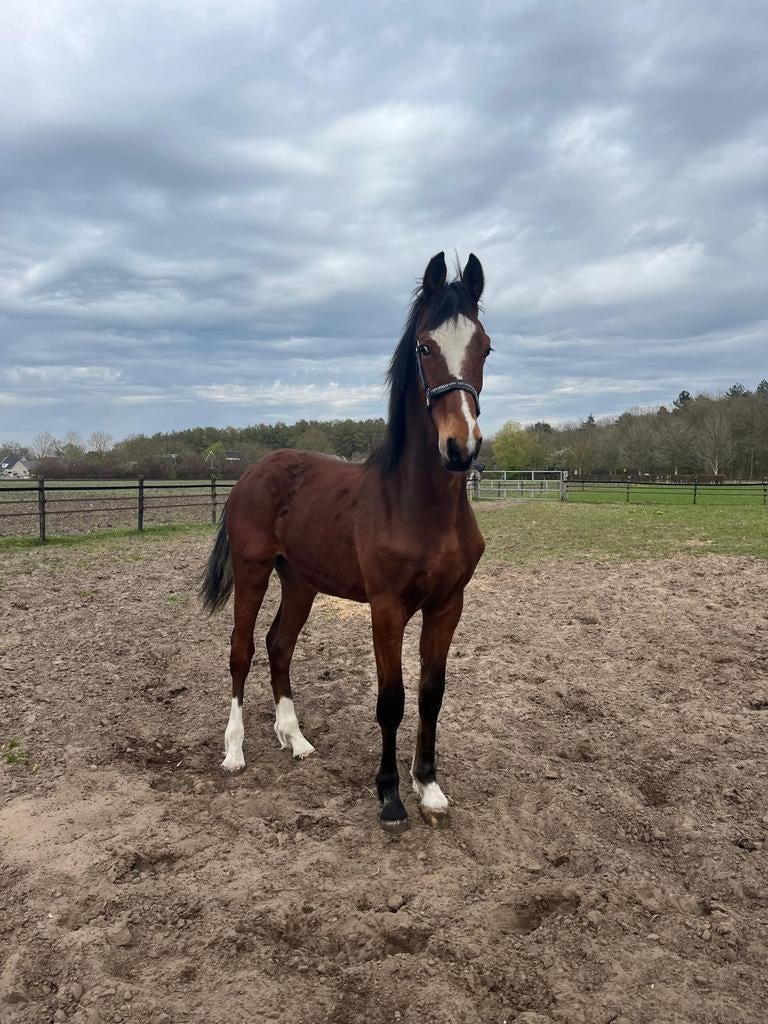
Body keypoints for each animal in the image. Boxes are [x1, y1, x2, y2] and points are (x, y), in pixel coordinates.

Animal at [200, 251, 491, 831]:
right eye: (425, 347)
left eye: (485, 347)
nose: (460, 447)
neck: (419, 507)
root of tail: (248, 475)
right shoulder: (387, 607)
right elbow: (391, 699)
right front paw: (390, 796)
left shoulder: (448, 605)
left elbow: (431, 693)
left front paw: (428, 786)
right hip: (252, 570)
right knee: (242, 649)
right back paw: (235, 751)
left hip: (300, 581)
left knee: (279, 645)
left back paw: (295, 739)